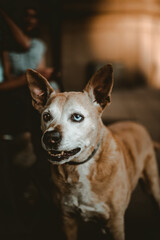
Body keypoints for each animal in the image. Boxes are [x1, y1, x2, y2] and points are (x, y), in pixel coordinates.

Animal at [26, 65, 160, 240]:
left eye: (77, 117)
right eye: (46, 116)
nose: (50, 138)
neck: (80, 167)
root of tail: (136, 124)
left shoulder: (116, 223)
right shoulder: (67, 219)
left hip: (153, 186)